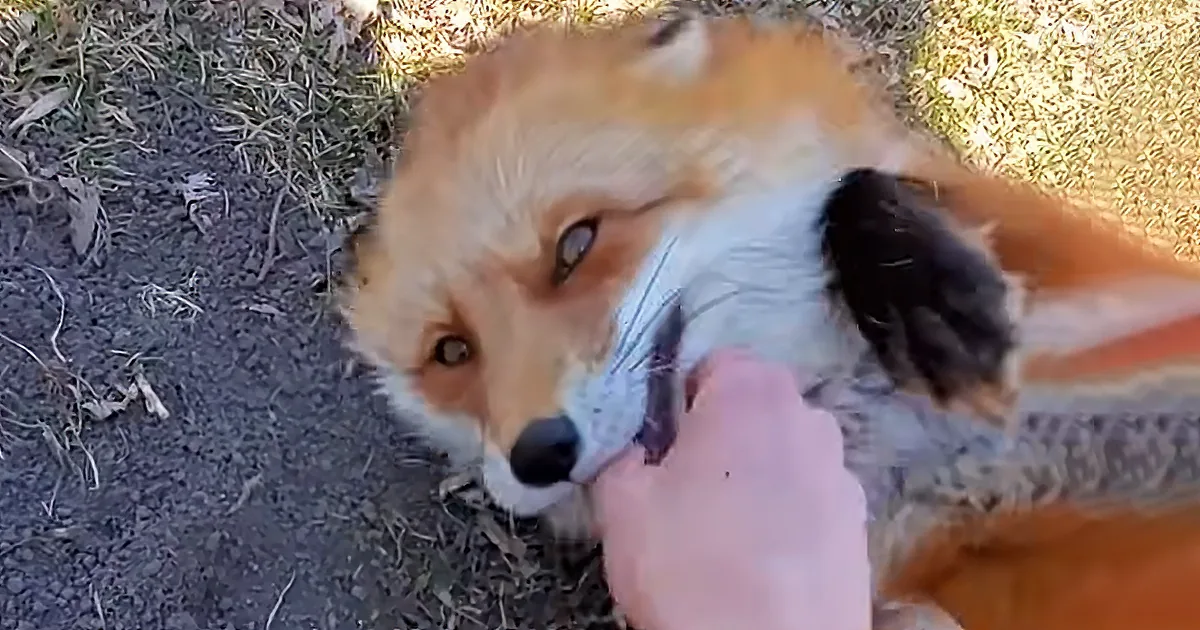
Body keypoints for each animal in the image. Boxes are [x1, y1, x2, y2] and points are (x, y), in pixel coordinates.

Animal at [339, 10, 1200, 630]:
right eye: (453, 352)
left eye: (576, 244)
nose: (541, 452)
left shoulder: (1127, 295)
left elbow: (860, 186)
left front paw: (932, 295)